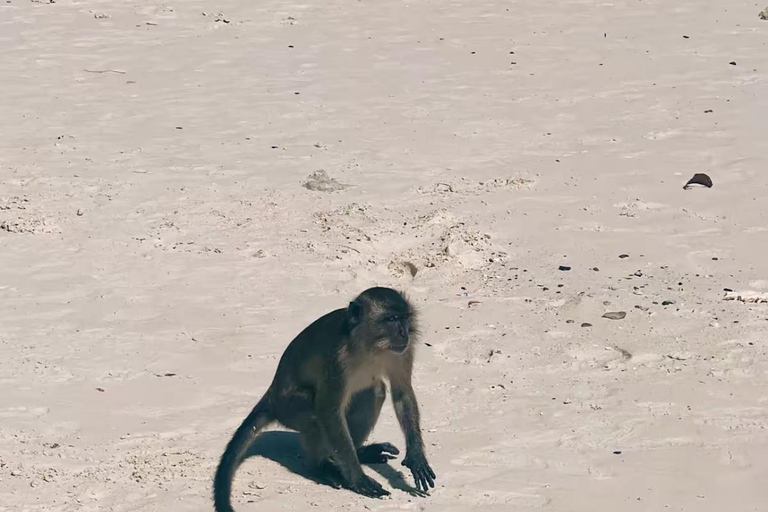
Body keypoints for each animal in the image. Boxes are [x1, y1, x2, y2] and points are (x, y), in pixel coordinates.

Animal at [213, 288, 436, 512]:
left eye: (404, 318)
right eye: (391, 319)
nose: (404, 333)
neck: (368, 346)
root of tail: (272, 395)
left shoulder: (403, 350)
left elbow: (402, 392)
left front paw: (416, 456)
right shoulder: (337, 358)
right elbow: (328, 409)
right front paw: (357, 478)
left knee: (375, 392)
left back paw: (359, 453)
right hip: (288, 408)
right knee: (314, 416)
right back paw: (321, 468)